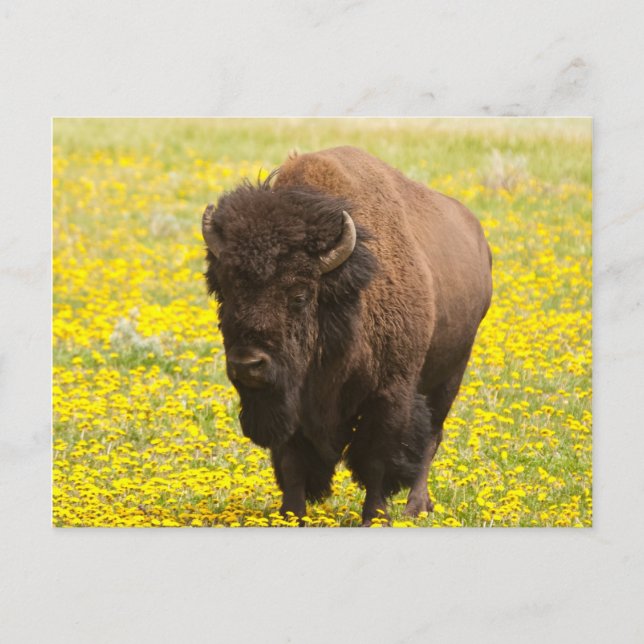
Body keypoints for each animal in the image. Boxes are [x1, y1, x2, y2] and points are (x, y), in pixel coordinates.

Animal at [202, 146, 492, 525]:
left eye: (299, 295)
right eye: (225, 291)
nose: (247, 363)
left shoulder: (389, 396)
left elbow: (377, 461)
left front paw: (375, 517)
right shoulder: (289, 401)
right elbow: (291, 461)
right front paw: (291, 515)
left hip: (450, 375)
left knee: (431, 438)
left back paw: (416, 507)